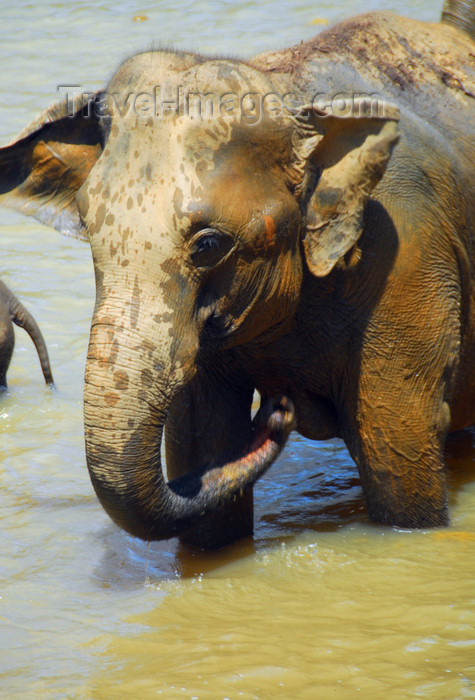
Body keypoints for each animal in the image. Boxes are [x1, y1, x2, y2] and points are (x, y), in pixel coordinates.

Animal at [0, 0, 474, 548]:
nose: (278, 409)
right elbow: (203, 452)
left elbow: (395, 456)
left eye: (208, 245)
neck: (285, 87)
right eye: (89, 230)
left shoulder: (406, 258)